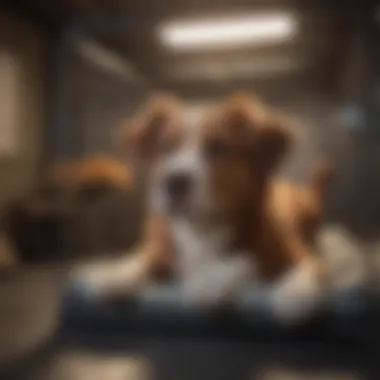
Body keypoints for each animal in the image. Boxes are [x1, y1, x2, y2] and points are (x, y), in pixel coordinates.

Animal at [76, 93, 332, 326]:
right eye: (165, 147)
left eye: (218, 147)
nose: (174, 182)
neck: (201, 227)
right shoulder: (161, 247)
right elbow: (143, 259)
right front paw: (119, 274)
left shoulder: (301, 257)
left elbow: (257, 262)